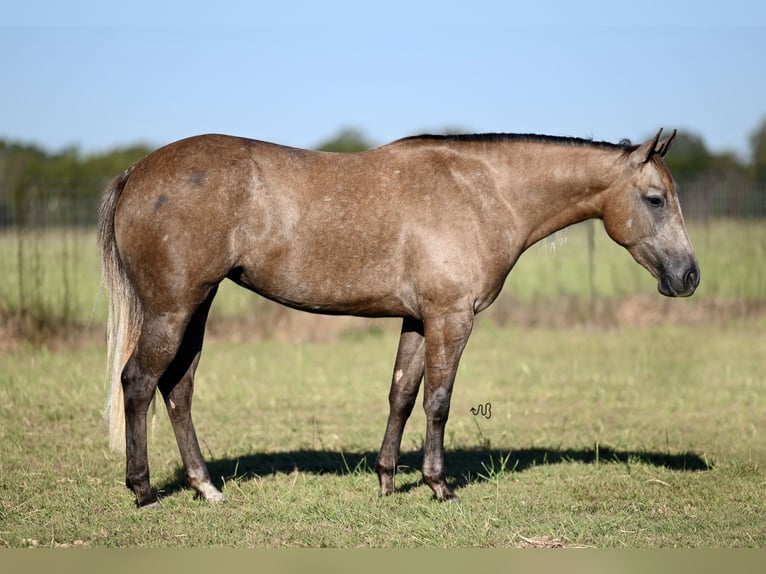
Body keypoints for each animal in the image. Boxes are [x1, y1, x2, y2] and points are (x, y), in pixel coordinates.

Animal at [99, 127, 700, 508]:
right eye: (655, 199)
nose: (689, 276)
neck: (482, 192)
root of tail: (136, 173)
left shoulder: (417, 320)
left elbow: (402, 395)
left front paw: (387, 482)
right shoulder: (451, 319)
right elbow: (438, 402)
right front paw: (439, 487)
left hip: (195, 307)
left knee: (177, 389)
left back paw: (206, 487)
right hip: (173, 308)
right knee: (139, 382)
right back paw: (144, 492)